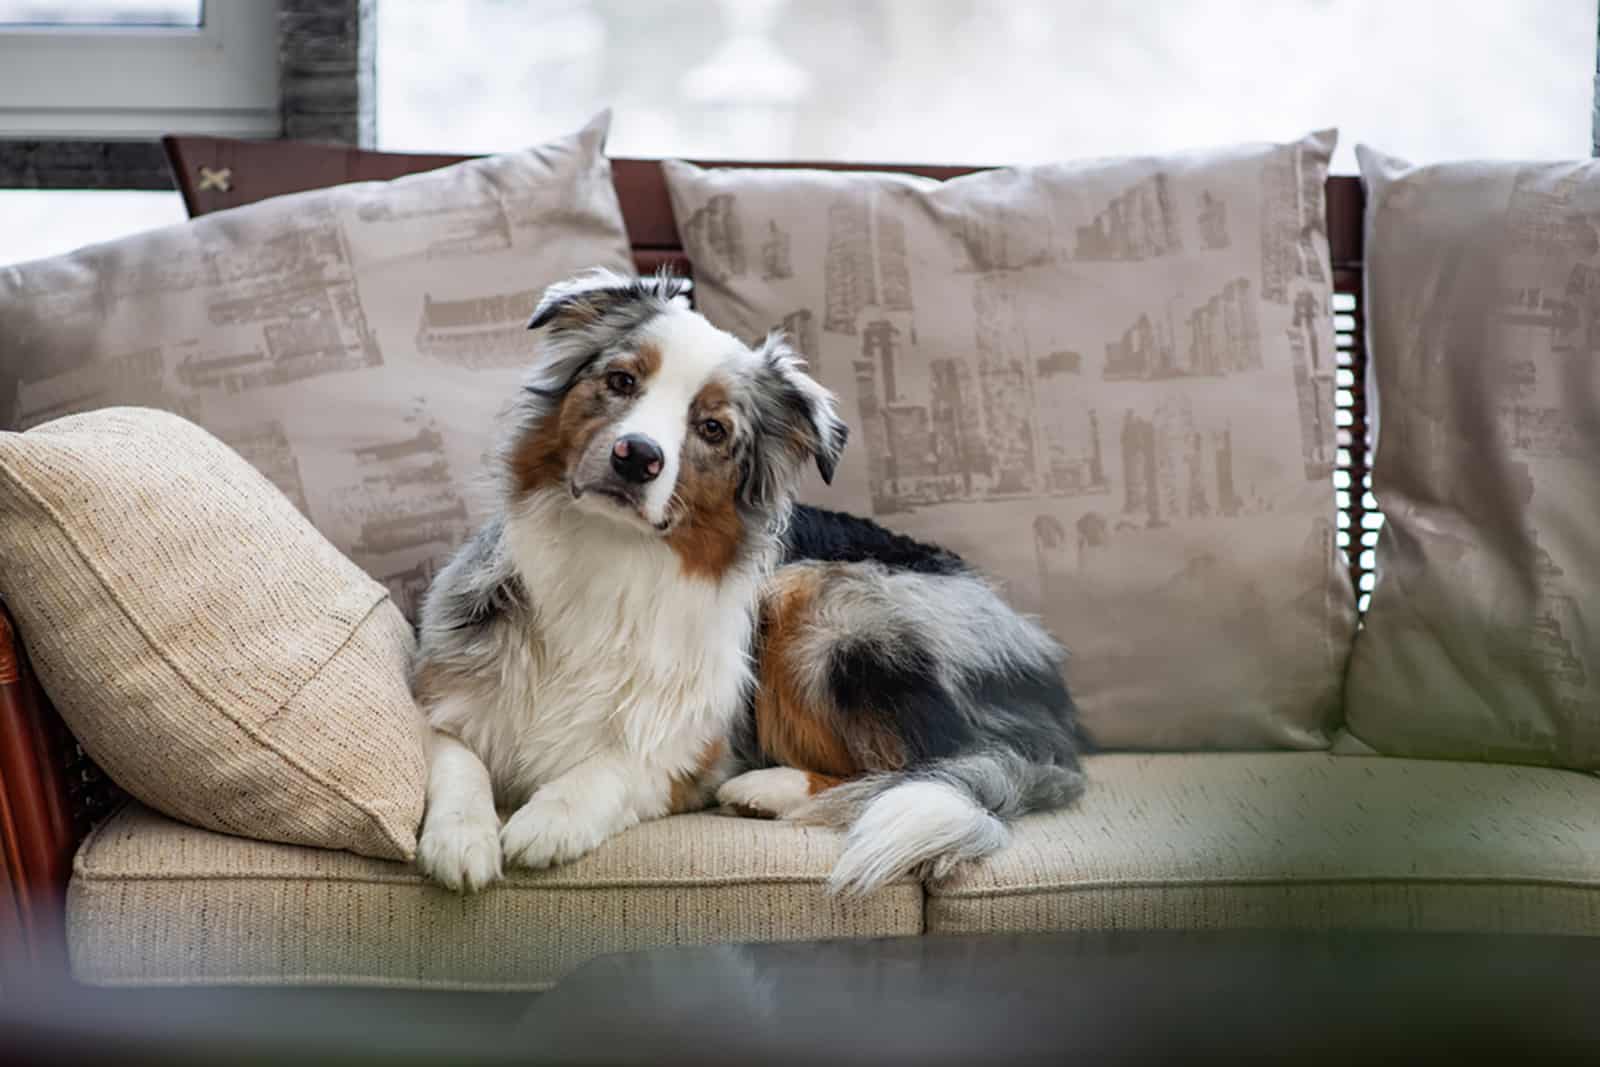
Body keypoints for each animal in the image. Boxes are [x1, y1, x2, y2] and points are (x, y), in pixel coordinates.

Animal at [412, 271, 1088, 895]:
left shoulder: (695, 748)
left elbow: (617, 764)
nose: (637, 456)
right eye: (622, 381)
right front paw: (461, 837)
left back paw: (769, 788)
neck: (612, 556)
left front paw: (550, 818)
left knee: (920, 766)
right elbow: (454, 757)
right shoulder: (444, 692)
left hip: (821, 604)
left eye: (712, 429)